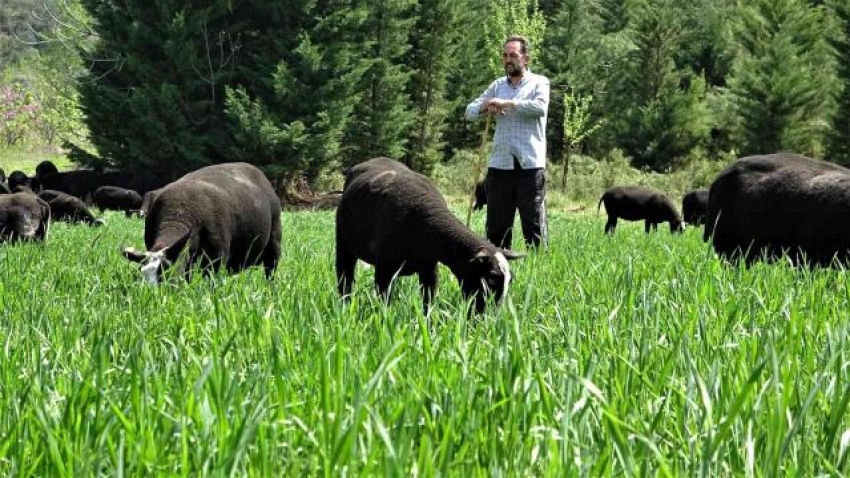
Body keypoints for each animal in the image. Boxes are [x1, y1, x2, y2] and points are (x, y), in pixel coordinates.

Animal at [121, 163, 280, 284]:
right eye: (141, 273)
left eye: (166, 271)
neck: (178, 214)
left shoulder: (216, 257)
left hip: (275, 238)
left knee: (271, 267)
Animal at [332, 158, 520, 314]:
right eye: (492, 279)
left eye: (510, 281)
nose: (492, 316)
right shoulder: (385, 268)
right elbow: (384, 302)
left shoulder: (429, 268)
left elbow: (428, 302)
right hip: (343, 244)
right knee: (345, 278)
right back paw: (345, 308)